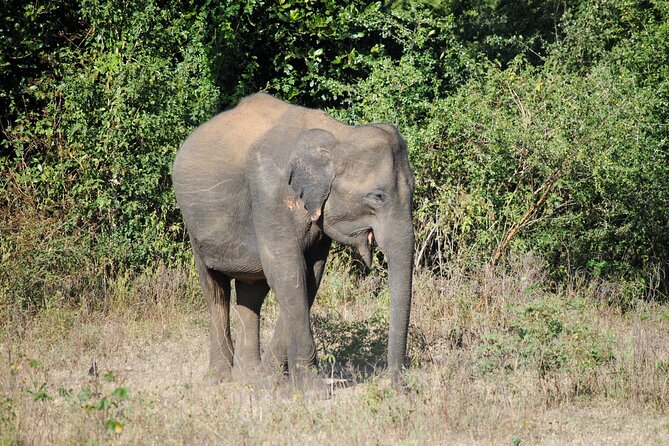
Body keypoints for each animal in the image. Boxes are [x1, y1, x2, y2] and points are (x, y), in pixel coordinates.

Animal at [172, 93, 414, 386]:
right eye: (377, 196)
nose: (397, 385)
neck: (337, 134)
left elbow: (309, 276)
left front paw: (268, 379)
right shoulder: (270, 194)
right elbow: (287, 272)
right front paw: (309, 388)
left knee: (251, 291)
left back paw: (246, 375)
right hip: (194, 225)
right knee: (214, 289)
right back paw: (220, 378)